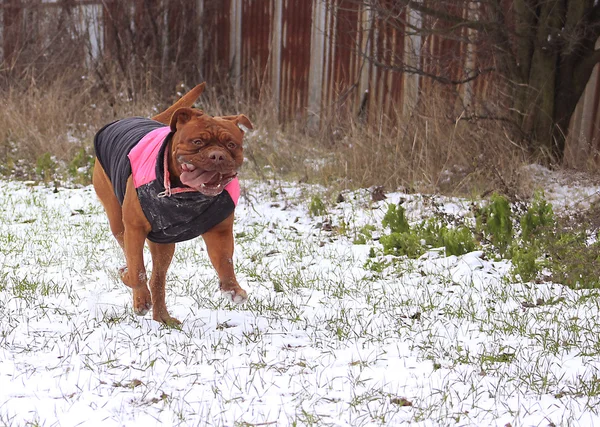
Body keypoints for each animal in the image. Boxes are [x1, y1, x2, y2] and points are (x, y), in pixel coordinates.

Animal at [92, 83, 252, 324]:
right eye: (198, 142)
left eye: (231, 144)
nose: (217, 156)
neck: (186, 195)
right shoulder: (134, 228)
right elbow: (137, 269)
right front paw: (136, 292)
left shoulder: (220, 231)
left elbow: (224, 260)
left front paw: (232, 289)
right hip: (117, 220)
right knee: (131, 256)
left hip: (164, 244)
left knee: (157, 279)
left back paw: (163, 319)